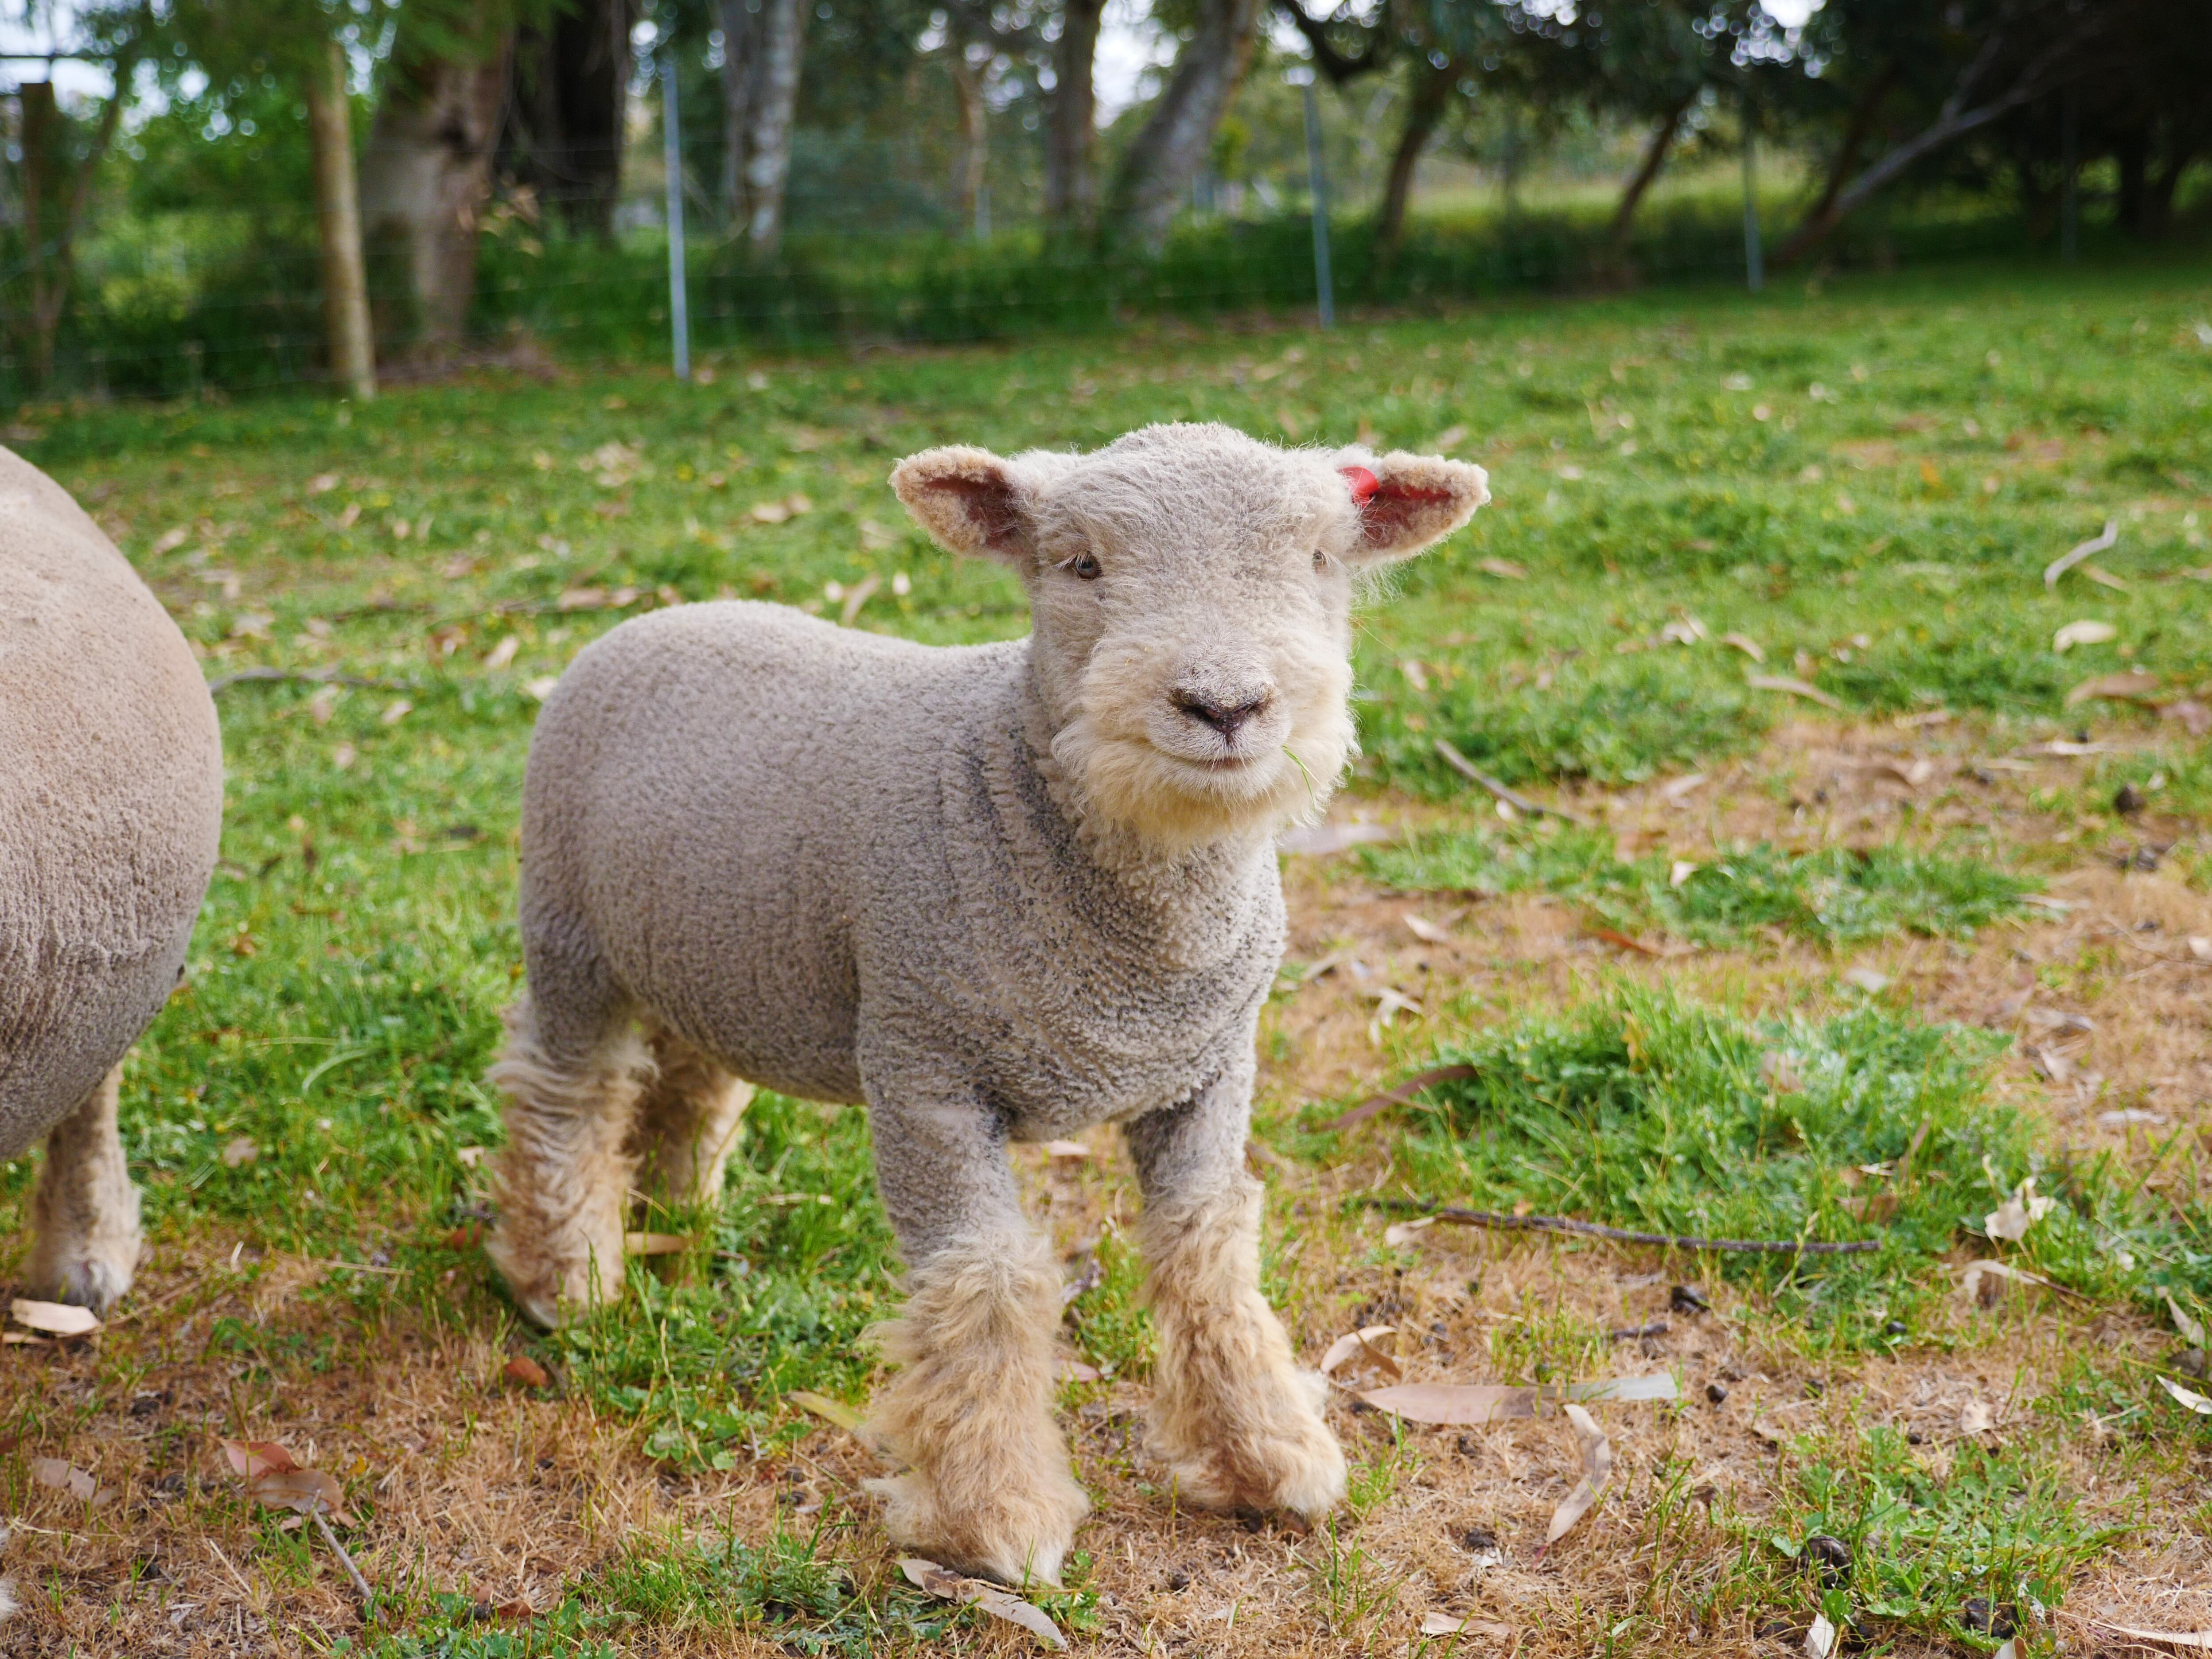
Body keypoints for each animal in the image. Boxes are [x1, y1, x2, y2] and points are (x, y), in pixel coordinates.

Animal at [488, 421, 1489, 1584]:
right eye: (1081, 563)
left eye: (1322, 560)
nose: (1225, 706)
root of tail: (659, 613)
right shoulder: (924, 1066)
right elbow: (987, 1281)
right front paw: (997, 1512)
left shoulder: (1205, 1067)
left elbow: (1205, 1245)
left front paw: (1267, 1453)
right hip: (571, 935)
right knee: (566, 1094)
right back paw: (569, 1278)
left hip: (713, 950)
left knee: (689, 1080)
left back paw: (681, 1213)